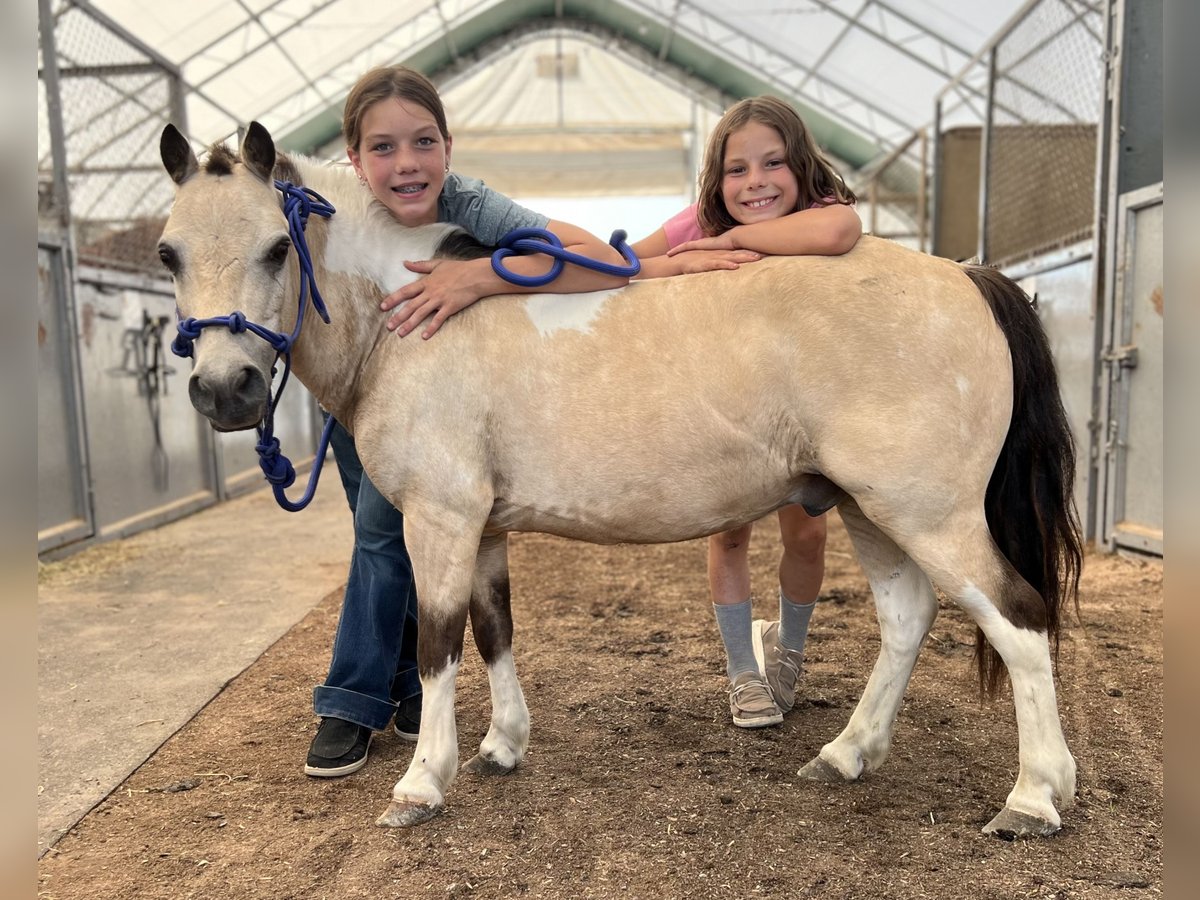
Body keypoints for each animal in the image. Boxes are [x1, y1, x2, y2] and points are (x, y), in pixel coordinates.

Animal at [158, 121, 1082, 838]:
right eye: (168, 253)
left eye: (277, 246)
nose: (226, 389)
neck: (411, 322)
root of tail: (967, 276)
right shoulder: (484, 527)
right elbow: (494, 631)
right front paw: (502, 747)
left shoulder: (441, 518)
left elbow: (437, 643)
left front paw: (422, 784)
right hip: (870, 509)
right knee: (906, 618)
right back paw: (846, 754)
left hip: (930, 514)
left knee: (1019, 620)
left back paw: (1034, 797)